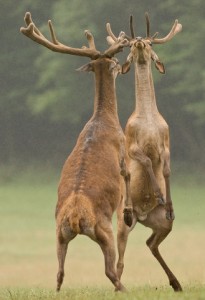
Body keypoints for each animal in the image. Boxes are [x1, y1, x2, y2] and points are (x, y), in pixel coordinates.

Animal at [20, 11, 131, 290]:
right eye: (114, 61)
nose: (121, 65)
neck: (105, 119)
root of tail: (74, 218)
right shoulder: (124, 150)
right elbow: (127, 179)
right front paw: (128, 212)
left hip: (59, 234)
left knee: (59, 273)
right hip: (103, 228)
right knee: (109, 270)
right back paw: (124, 288)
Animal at [106, 13, 182, 290]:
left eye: (149, 43)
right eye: (130, 45)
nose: (138, 39)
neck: (149, 119)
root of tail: (143, 217)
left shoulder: (167, 140)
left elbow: (167, 169)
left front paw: (168, 203)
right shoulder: (131, 143)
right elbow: (147, 163)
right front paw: (158, 193)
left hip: (162, 225)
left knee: (150, 243)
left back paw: (176, 283)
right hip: (120, 225)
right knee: (119, 259)